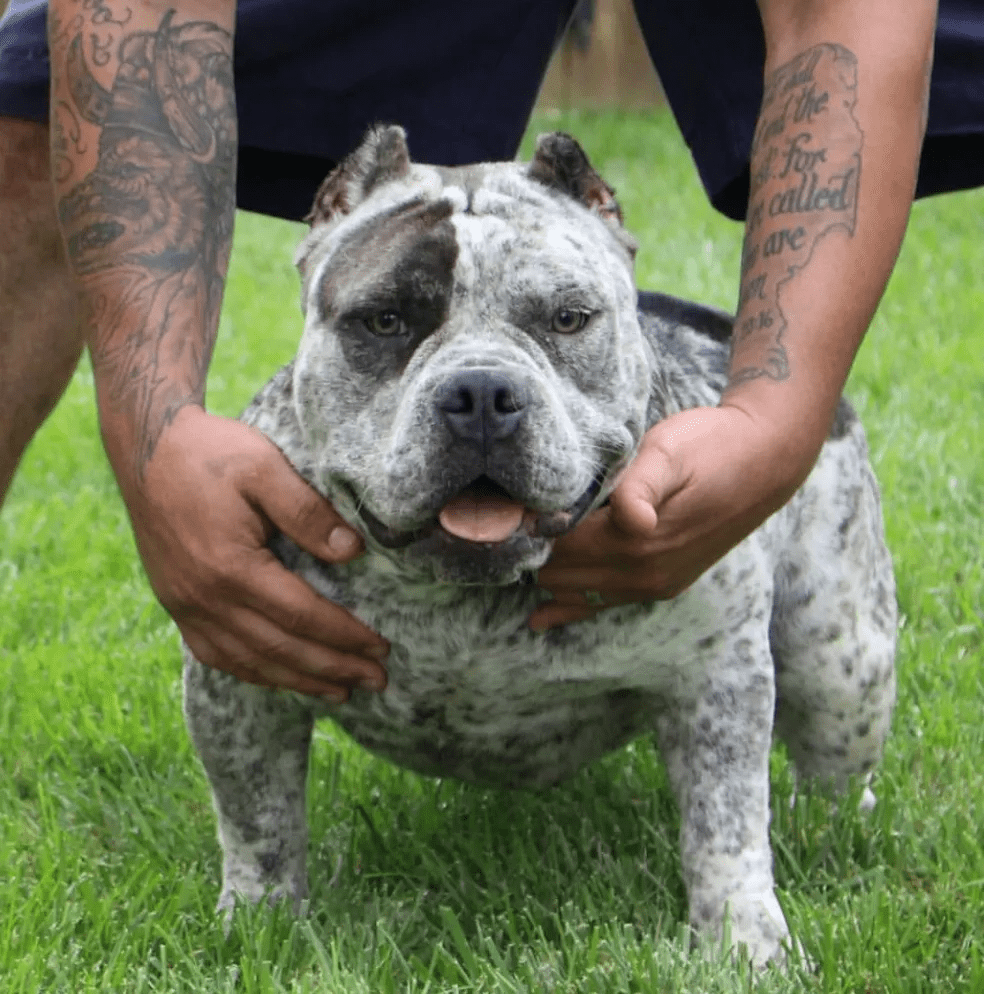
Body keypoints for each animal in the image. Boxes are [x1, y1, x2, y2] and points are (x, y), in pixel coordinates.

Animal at [184, 124, 900, 960]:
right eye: (385, 321)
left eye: (567, 319)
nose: (481, 392)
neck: (467, 598)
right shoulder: (238, 679)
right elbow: (256, 821)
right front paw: (259, 927)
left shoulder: (717, 679)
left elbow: (726, 828)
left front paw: (745, 944)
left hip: (838, 657)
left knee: (833, 766)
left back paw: (834, 834)